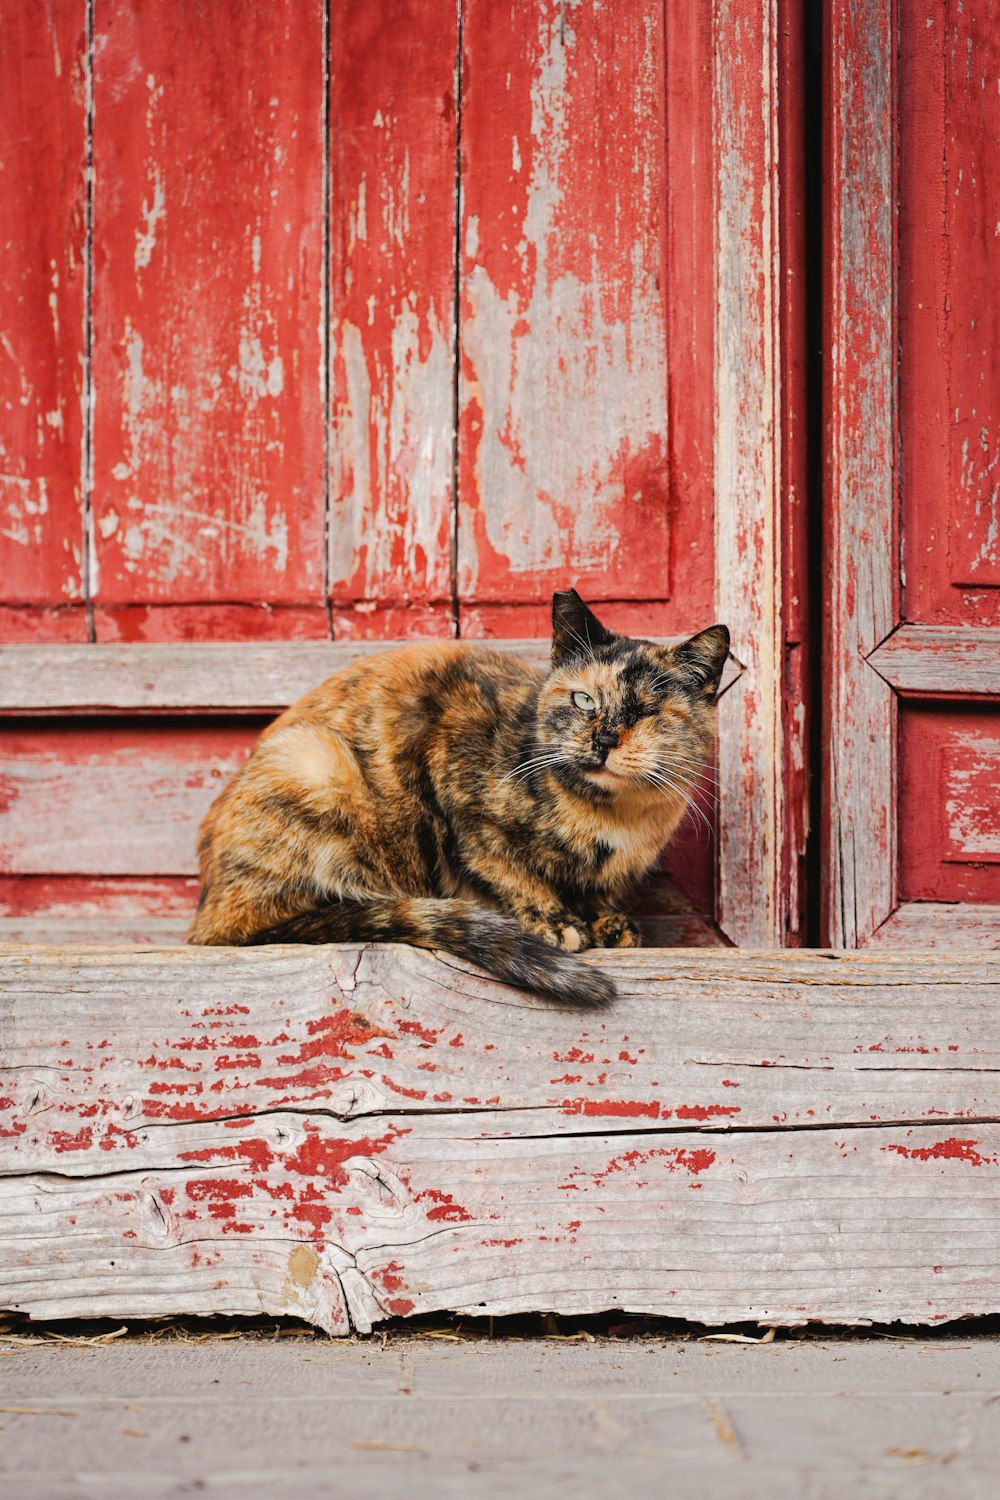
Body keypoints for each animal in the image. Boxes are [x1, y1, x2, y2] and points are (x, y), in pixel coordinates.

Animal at [187, 588, 731, 1008]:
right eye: (583, 700)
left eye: (647, 711)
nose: (603, 740)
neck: (614, 817)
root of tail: (205, 908)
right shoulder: (462, 807)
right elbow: (512, 873)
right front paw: (556, 923)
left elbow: (597, 891)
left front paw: (608, 923)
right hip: (312, 761)